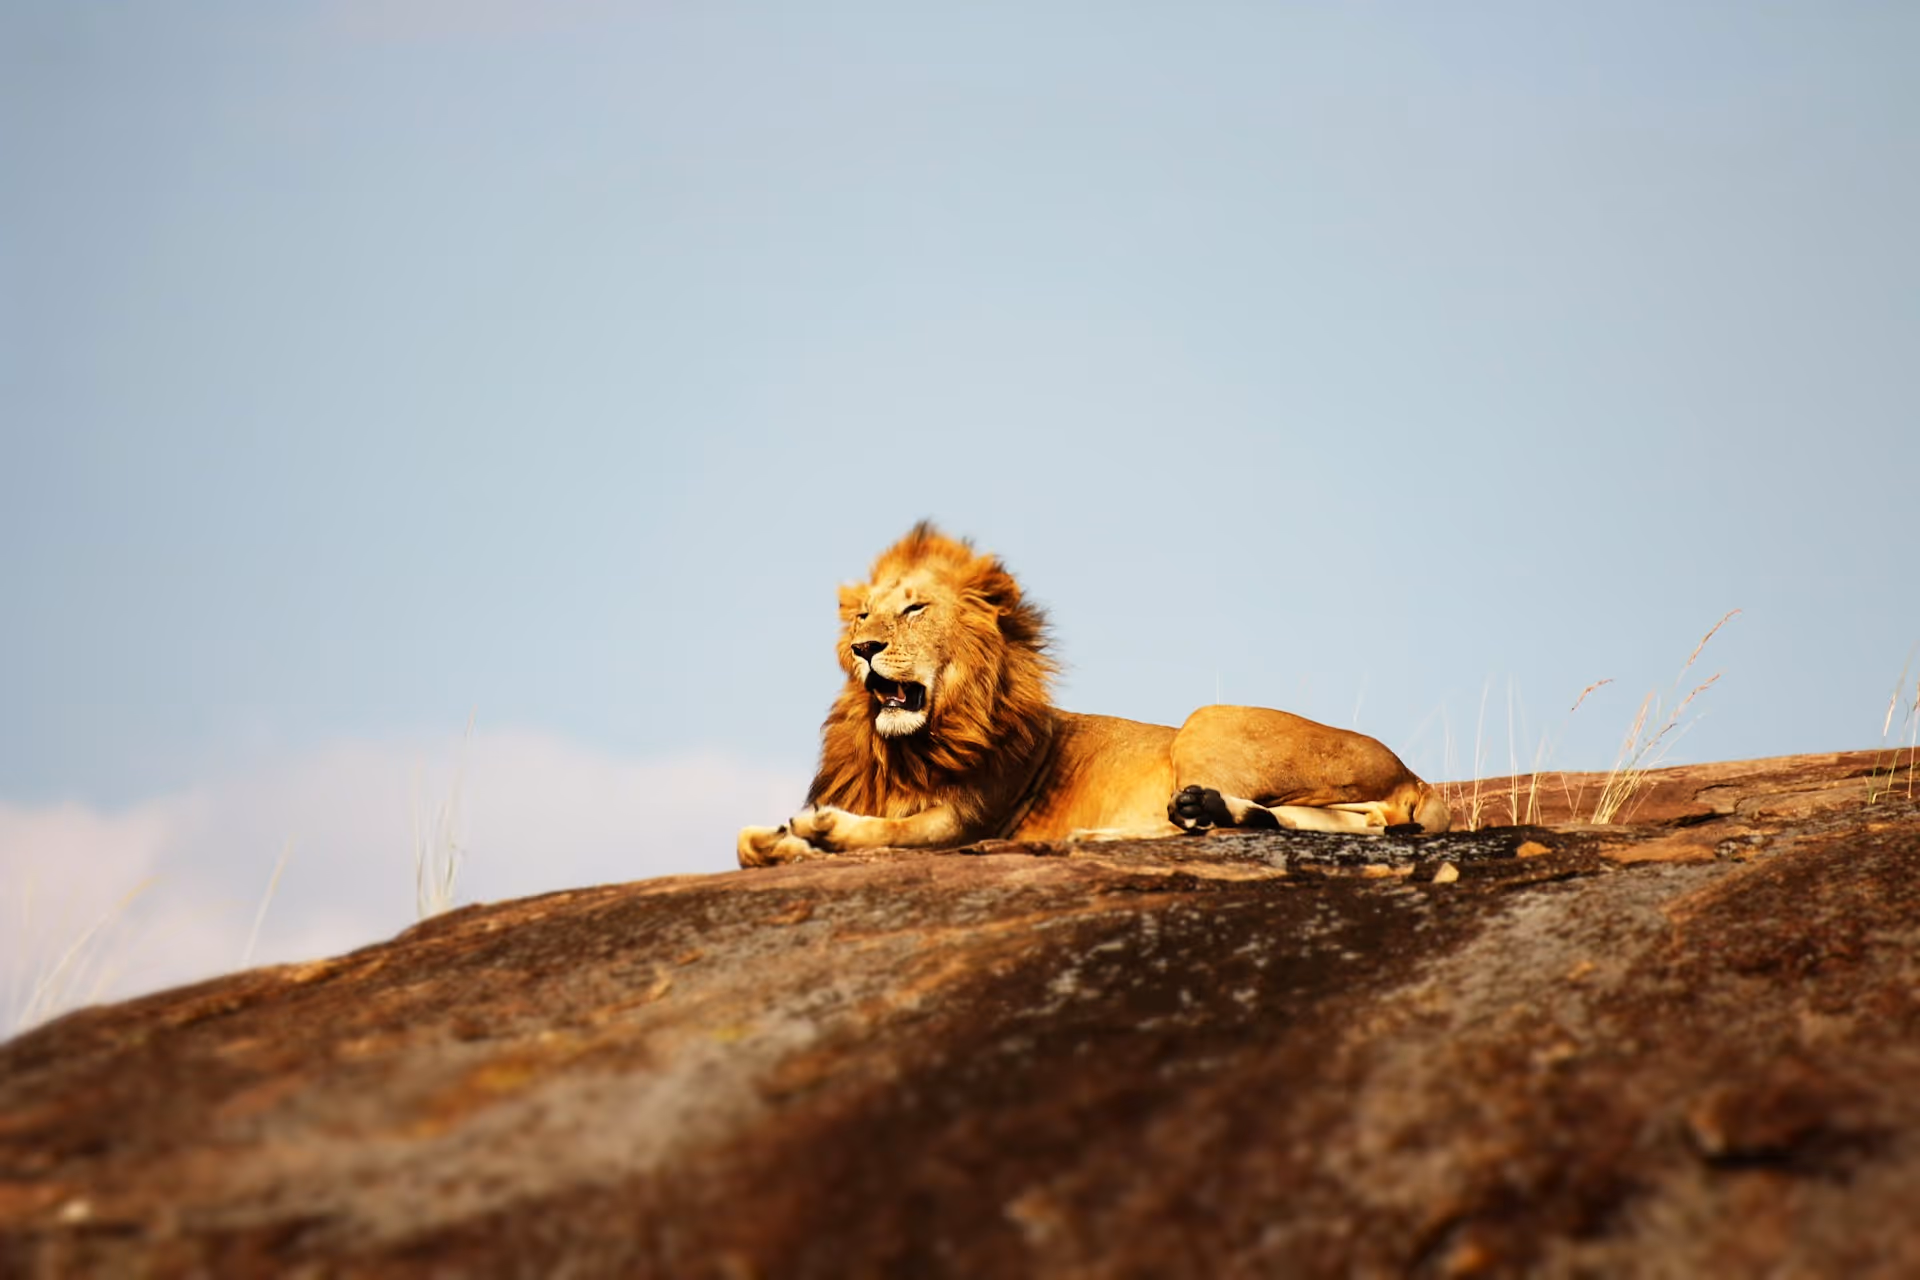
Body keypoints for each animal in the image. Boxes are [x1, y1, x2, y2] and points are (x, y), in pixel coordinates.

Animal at [737, 523, 1449, 867]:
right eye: (862, 616)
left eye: (914, 609)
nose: (864, 648)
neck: (905, 748)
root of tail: (1416, 776)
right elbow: (747, 843)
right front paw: (780, 840)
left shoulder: (965, 821)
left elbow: (889, 831)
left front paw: (822, 828)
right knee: (1347, 821)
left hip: (1207, 720)